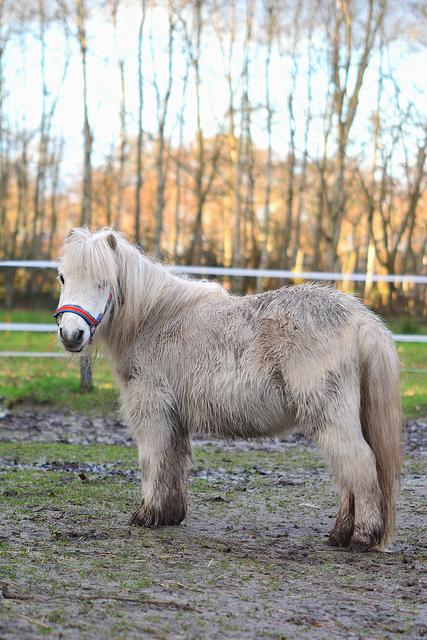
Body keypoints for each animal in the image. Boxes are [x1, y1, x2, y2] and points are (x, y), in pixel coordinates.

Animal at [54, 228, 404, 552]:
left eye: (103, 282)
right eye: (62, 277)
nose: (71, 335)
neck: (153, 319)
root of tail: (360, 319)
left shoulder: (152, 411)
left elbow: (152, 461)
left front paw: (146, 515)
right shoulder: (175, 418)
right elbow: (174, 463)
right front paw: (169, 516)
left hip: (330, 417)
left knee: (360, 465)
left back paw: (361, 536)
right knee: (348, 473)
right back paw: (340, 534)